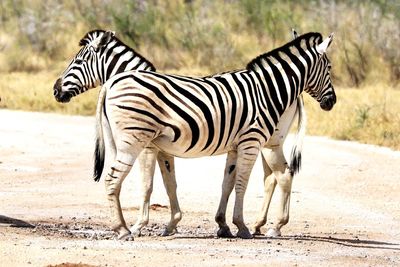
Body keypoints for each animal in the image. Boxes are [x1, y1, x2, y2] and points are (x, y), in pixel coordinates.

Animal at [54, 31, 334, 241]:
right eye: (330, 67)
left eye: (77, 62)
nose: (56, 90)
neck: (266, 89)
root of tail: (113, 83)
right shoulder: (247, 142)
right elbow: (161, 185)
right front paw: (236, 226)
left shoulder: (232, 144)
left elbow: (209, 183)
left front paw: (203, 225)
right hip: (133, 142)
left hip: (271, 141)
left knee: (280, 175)